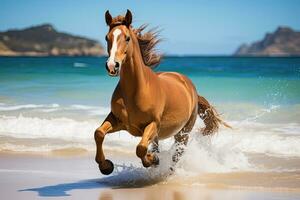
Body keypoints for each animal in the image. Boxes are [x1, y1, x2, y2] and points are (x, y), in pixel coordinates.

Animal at [94, 9, 230, 175]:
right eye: (107, 38)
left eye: (127, 38)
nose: (112, 66)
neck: (137, 91)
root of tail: (190, 87)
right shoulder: (117, 120)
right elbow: (99, 133)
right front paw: (106, 166)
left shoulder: (153, 124)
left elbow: (140, 148)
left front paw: (153, 160)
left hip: (183, 133)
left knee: (177, 153)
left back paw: (167, 171)